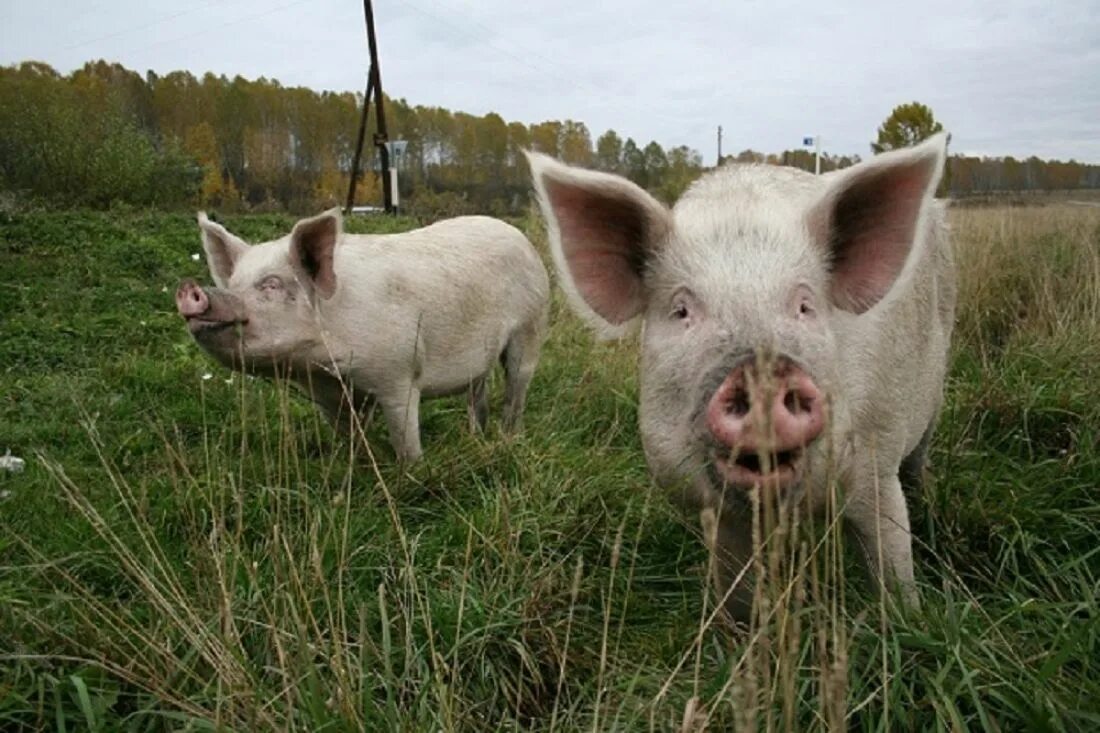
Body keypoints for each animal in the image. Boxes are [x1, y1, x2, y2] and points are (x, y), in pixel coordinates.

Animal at [174, 208, 550, 460]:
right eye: (234, 284)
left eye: (271, 285)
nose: (191, 290)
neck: (323, 366)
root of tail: (522, 238)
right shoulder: (328, 393)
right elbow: (351, 437)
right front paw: (359, 466)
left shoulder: (399, 374)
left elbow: (405, 438)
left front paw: (411, 472)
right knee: (478, 393)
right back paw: (476, 436)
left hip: (530, 327)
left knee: (516, 389)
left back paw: (508, 439)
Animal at [525, 134, 954, 620]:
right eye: (682, 310)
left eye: (804, 304)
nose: (764, 373)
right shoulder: (719, 513)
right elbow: (737, 589)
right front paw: (739, 629)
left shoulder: (875, 459)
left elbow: (891, 557)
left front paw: (908, 617)